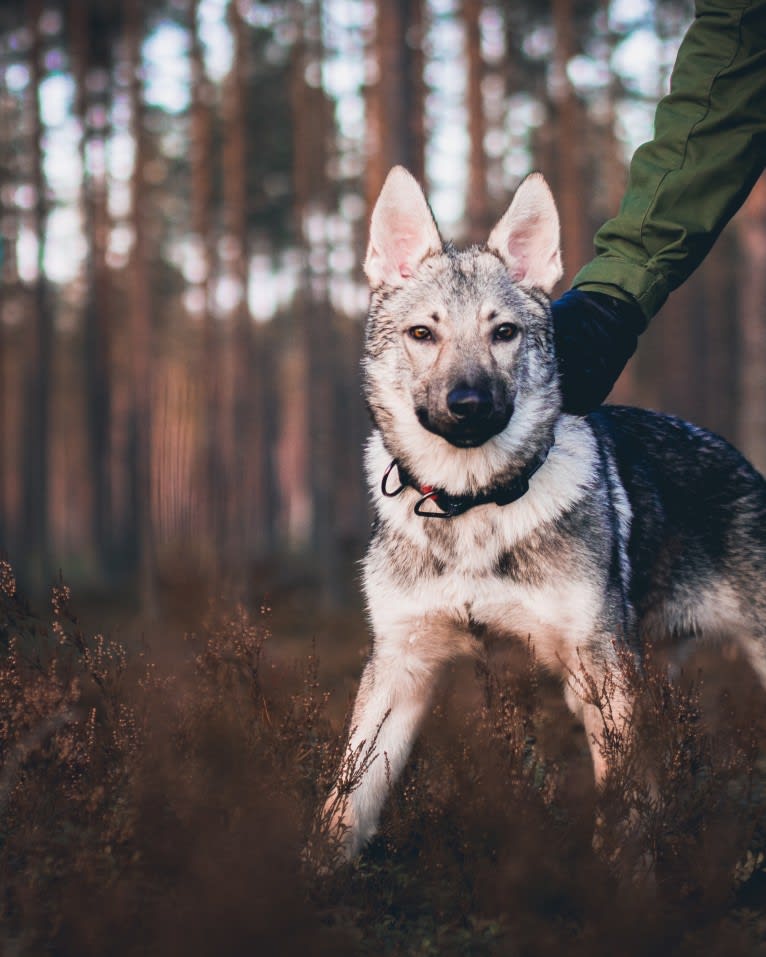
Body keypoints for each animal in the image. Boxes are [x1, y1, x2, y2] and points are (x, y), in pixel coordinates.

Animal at [322, 168, 766, 864]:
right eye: (424, 334)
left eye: (503, 333)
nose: (469, 403)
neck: (472, 504)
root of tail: (741, 459)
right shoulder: (401, 665)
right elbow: (344, 804)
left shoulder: (603, 670)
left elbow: (619, 813)